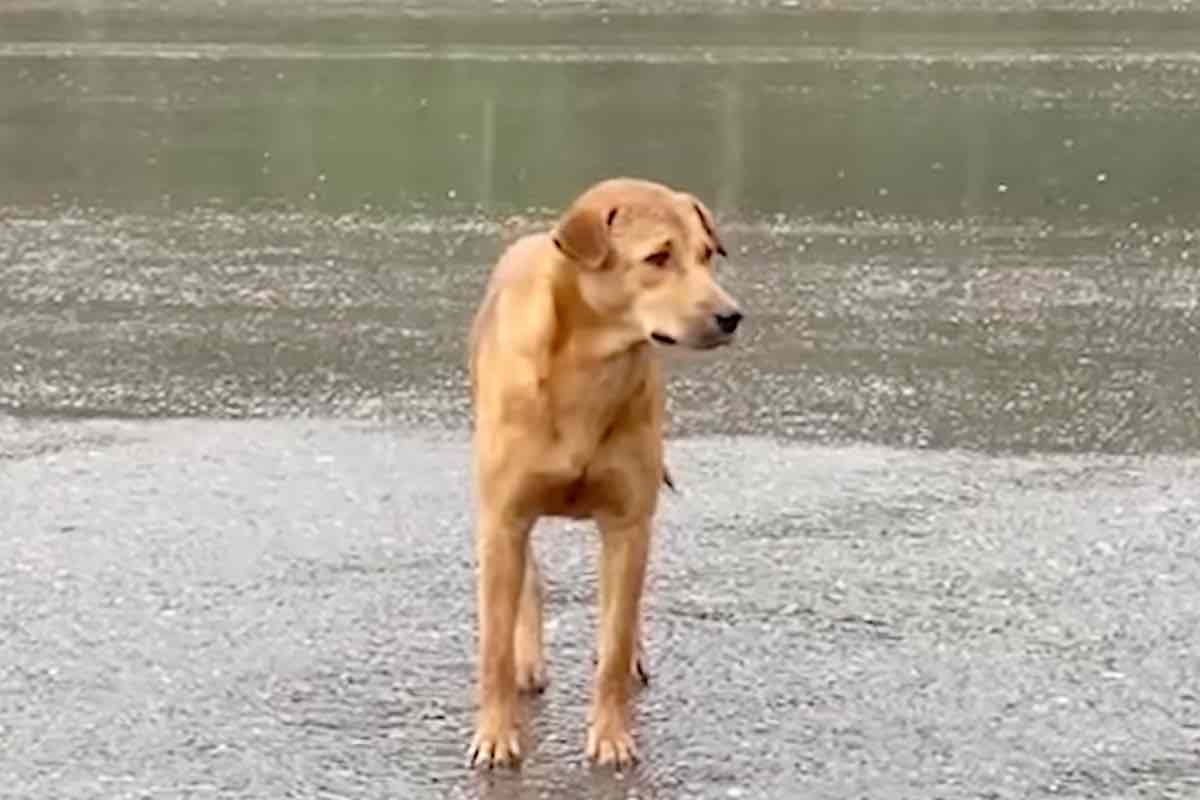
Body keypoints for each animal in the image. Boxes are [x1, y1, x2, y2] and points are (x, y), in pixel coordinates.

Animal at [465, 176, 739, 767]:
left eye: (707, 254)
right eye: (658, 257)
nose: (732, 316)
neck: (589, 371)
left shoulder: (628, 523)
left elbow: (613, 644)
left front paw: (611, 736)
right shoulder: (504, 518)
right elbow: (493, 649)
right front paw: (496, 734)